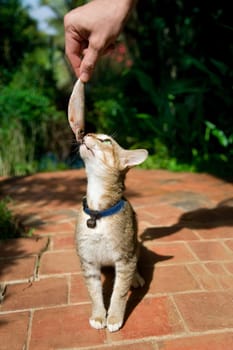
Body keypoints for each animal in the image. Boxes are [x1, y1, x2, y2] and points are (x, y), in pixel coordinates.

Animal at [67, 78, 147, 330]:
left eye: (106, 140)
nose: (87, 132)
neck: (98, 213)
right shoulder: (88, 261)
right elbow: (94, 292)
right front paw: (98, 315)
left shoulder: (125, 259)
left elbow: (119, 292)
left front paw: (113, 317)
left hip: (134, 246)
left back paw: (137, 277)